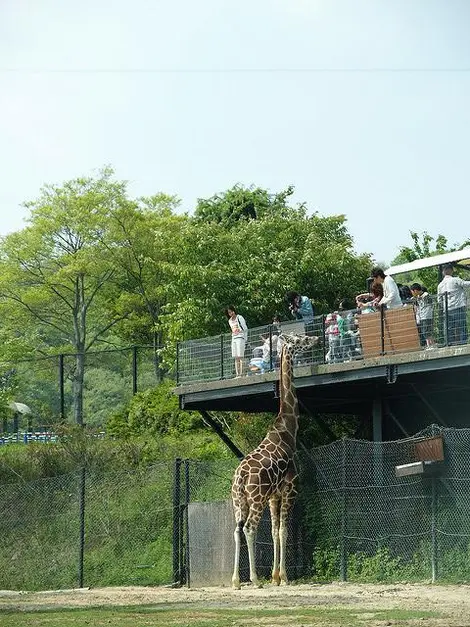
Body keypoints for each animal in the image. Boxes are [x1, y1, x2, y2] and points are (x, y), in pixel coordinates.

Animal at [231, 334, 320, 588]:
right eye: (301, 339)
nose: (316, 339)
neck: (288, 430)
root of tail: (241, 476)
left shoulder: (274, 496)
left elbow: (273, 532)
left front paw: (275, 576)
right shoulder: (290, 489)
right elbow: (283, 531)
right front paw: (284, 577)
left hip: (238, 501)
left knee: (237, 530)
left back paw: (236, 580)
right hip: (256, 499)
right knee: (249, 529)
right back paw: (254, 579)